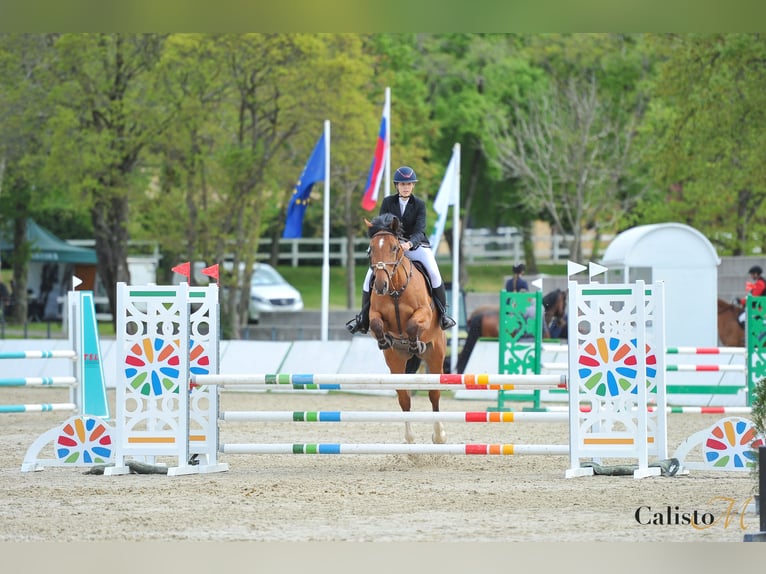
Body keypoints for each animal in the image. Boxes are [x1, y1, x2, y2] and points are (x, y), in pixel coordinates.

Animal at [368, 215, 450, 446]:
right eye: (370, 249)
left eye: (395, 247)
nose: (380, 286)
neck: (396, 288)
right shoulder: (374, 315)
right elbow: (376, 324)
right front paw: (384, 340)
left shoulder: (424, 313)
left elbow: (413, 324)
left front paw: (414, 342)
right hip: (395, 362)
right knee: (404, 397)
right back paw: (410, 439)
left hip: (436, 354)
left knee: (434, 395)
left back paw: (439, 435)